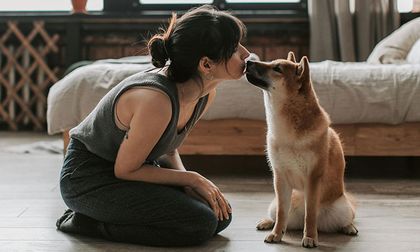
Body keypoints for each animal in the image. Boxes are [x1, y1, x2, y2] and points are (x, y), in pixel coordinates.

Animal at [246, 51, 358, 248]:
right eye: (270, 62)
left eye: (277, 68)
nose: (247, 62)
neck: (288, 132)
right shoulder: (280, 177)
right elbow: (282, 213)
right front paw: (276, 234)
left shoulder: (313, 177)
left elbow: (311, 213)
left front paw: (311, 237)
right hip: (275, 203)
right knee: (277, 215)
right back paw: (267, 222)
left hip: (342, 208)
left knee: (345, 218)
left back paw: (349, 227)